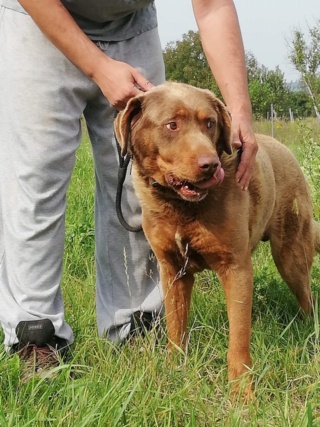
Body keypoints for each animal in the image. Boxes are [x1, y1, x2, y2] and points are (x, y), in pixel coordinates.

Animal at [114, 83, 318, 398]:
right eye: (172, 125)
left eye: (209, 123)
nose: (210, 165)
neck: (183, 207)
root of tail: (283, 147)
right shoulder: (172, 270)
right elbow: (176, 326)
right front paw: (174, 369)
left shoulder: (236, 268)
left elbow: (239, 337)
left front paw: (242, 392)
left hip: (291, 255)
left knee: (308, 300)